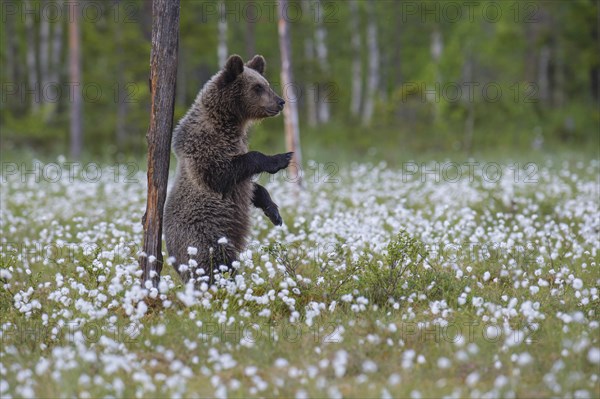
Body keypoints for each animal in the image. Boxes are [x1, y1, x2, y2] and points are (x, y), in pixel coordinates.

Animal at [163, 54, 292, 286]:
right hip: (206, 238)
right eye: (258, 87)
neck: (228, 123)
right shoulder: (205, 149)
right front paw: (281, 159)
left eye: (266, 84)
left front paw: (274, 212)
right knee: (214, 265)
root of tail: (175, 262)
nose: (280, 102)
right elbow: (223, 173)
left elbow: (250, 187)